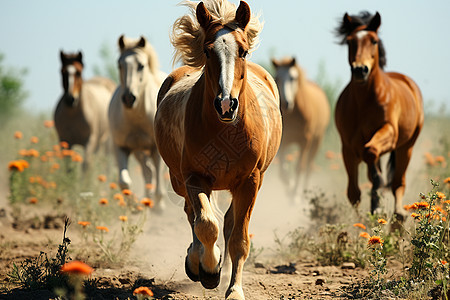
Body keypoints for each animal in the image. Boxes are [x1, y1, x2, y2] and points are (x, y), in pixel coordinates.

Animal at [108, 35, 168, 211]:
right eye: (119, 64)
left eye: (141, 65)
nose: (129, 98)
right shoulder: (121, 147)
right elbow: (124, 181)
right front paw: (132, 205)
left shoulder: (156, 149)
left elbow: (159, 181)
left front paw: (159, 206)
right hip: (138, 151)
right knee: (148, 171)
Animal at [155, 1, 282, 298]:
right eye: (207, 50)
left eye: (243, 50)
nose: (226, 104)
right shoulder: (194, 178)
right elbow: (205, 224)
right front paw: (209, 268)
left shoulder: (250, 182)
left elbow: (238, 239)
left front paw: (233, 289)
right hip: (178, 179)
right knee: (193, 215)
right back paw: (197, 262)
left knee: (226, 223)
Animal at [270, 57, 330, 196]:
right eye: (277, 78)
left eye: (293, 78)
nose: (286, 103)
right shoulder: (283, 142)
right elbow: (282, 170)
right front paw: (289, 185)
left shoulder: (305, 141)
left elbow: (299, 168)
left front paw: (294, 194)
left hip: (316, 141)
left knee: (308, 168)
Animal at [336, 11, 424, 221]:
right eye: (350, 41)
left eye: (374, 41)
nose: (360, 70)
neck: (364, 101)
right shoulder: (348, 147)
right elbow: (354, 192)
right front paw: (363, 218)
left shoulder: (389, 132)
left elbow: (371, 154)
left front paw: (377, 204)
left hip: (406, 147)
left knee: (398, 182)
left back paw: (399, 215)